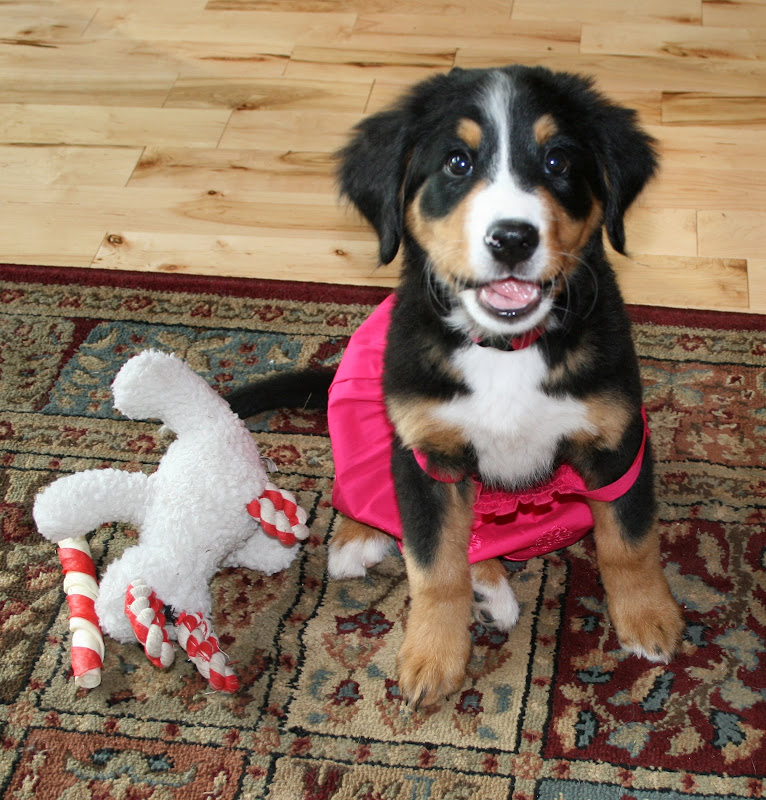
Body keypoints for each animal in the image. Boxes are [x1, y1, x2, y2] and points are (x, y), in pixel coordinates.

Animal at [227, 65, 685, 708]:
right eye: (457, 163)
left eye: (557, 162)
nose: (513, 238)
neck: (505, 348)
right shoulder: (428, 455)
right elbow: (433, 565)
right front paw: (432, 657)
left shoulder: (616, 438)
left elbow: (630, 539)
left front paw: (648, 618)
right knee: (370, 494)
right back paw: (361, 541)